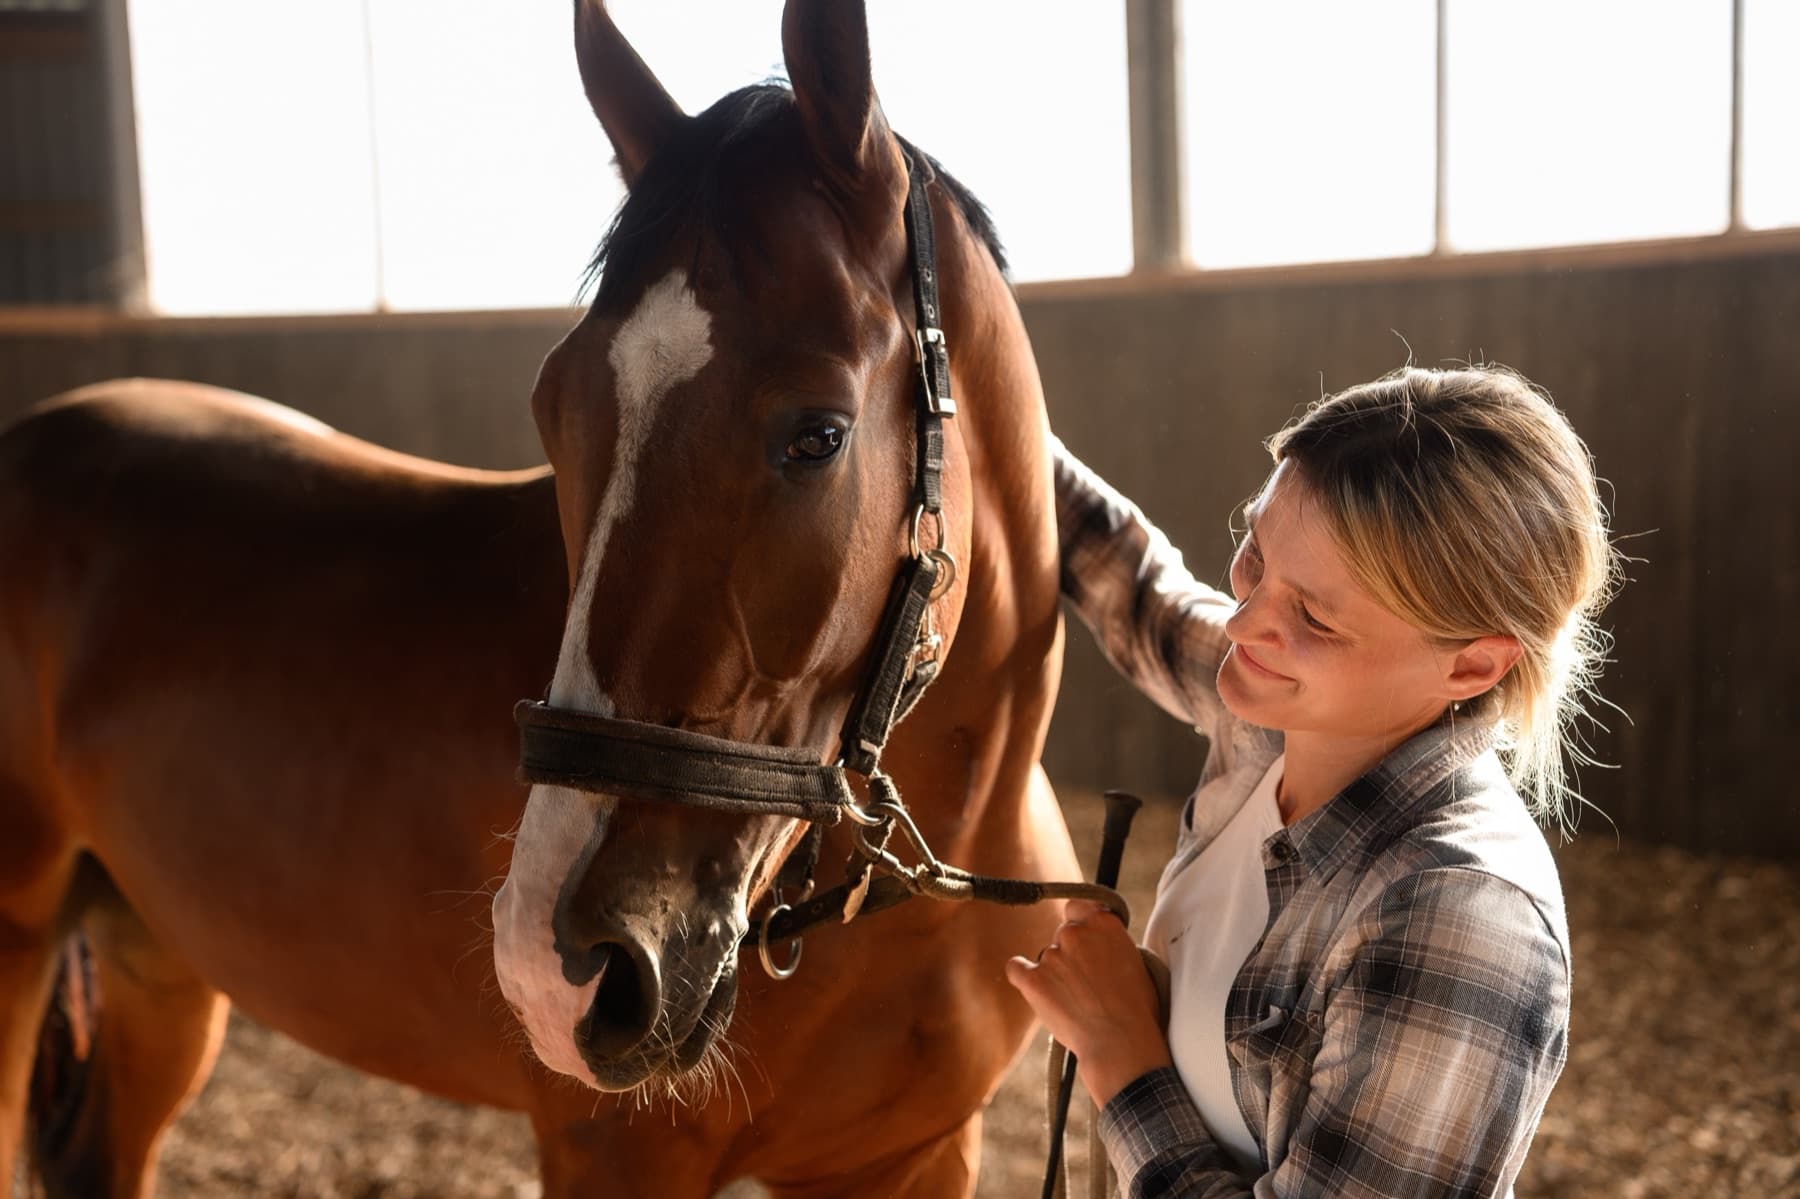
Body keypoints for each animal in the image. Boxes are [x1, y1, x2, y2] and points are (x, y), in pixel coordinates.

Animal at [0, 1, 1078, 1194]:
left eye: (819, 434)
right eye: (554, 409)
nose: (560, 965)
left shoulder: (916, 1154)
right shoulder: (612, 1152)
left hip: (159, 966)